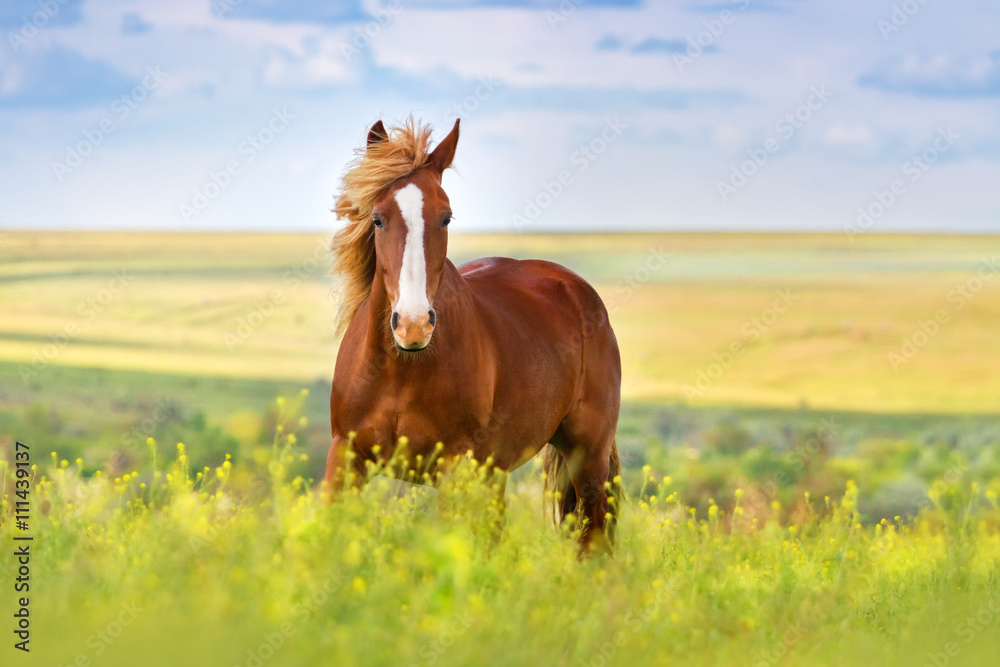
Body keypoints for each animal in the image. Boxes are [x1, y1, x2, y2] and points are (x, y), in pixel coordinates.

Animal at [324, 118, 620, 548]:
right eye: (377, 218)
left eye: (445, 217)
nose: (414, 324)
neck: (401, 369)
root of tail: (575, 288)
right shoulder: (345, 458)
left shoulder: (453, 467)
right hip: (495, 472)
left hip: (588, 459)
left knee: (593, 538)